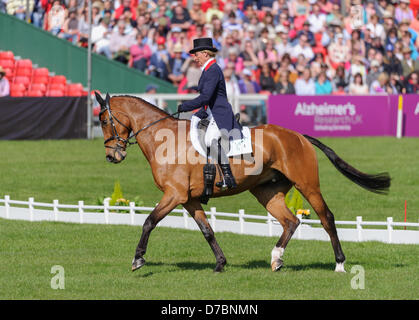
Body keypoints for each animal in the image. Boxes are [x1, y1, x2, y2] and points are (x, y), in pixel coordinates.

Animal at [95, 92, 390, 272]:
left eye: (104, 120)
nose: (112, 156)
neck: (164, 139)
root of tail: (299, 136)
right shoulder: (188, 199)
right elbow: (207, 231)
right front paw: (220, 263)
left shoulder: (174, 195)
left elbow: (149, 221)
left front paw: (138, 259)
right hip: (267, 191)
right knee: (290, 221)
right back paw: (276, 259)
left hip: (307, 185)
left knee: (326, 217)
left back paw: (339, 264)